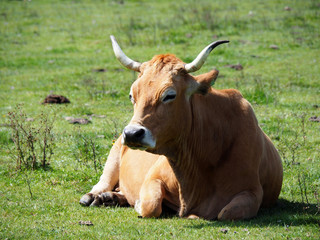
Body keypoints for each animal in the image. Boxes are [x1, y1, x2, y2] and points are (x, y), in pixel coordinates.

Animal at [79, 34, 282, 220]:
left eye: (169, 95)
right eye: (132, 95)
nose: (131, 133)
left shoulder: (252, 192)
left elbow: (226, 213)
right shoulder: (152, 178)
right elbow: (151, 205)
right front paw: (137, 204)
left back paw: (111, 198)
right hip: (114, 153)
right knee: (103, 182)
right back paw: (96, 196)